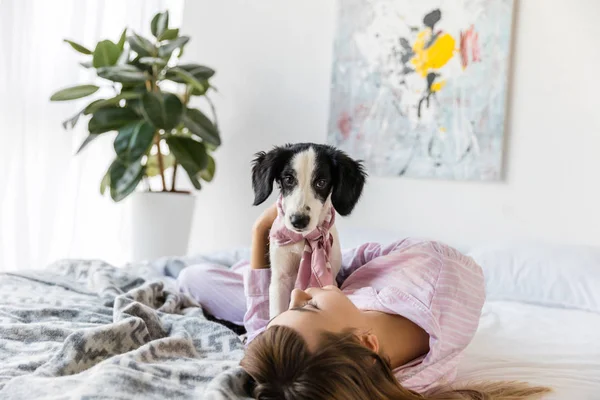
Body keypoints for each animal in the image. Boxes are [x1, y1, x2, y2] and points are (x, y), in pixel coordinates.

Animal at [252, 142, 368, 318]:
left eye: (321, 182)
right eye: (289, 179)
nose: (298, 221)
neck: (304, 240)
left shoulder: (330, 280)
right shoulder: (280, 278)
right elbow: (277, 314)